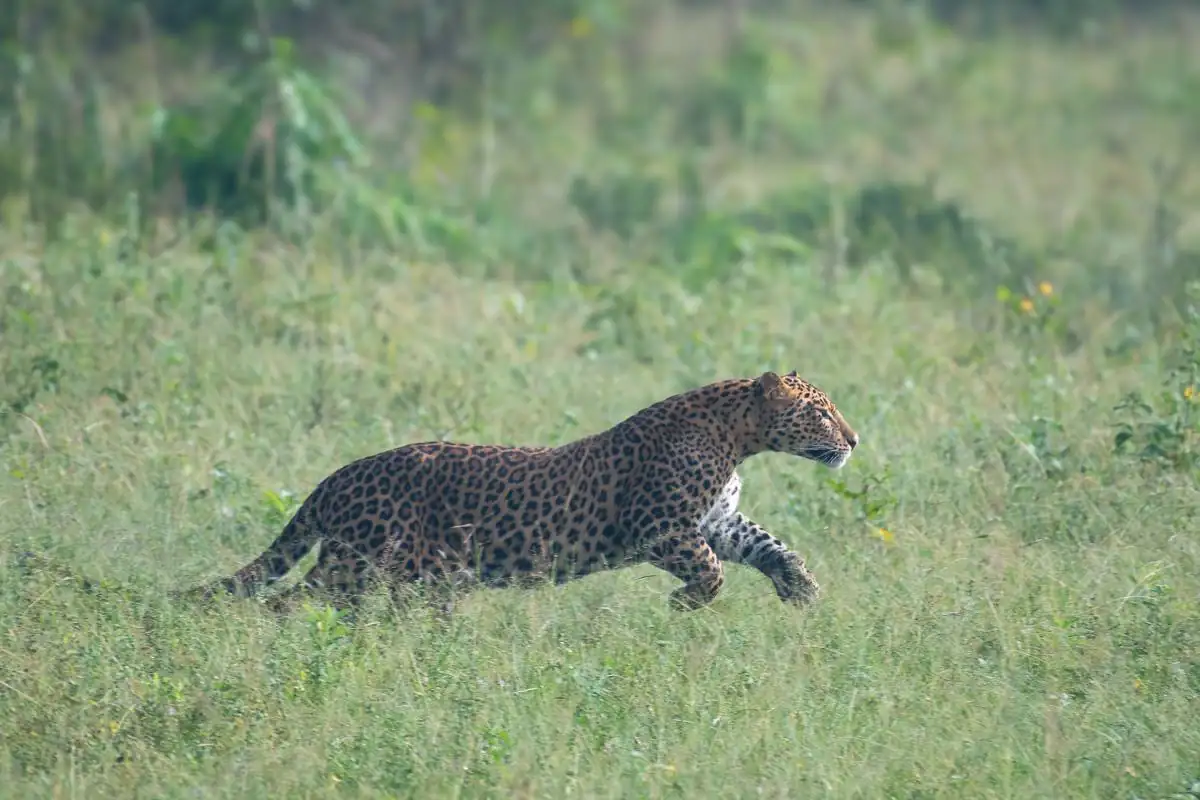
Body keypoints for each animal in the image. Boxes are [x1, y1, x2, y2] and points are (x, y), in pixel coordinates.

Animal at [191, 370, 859, 612]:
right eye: (820, 413)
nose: (854, 440)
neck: (737, 437)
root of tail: (335, 478)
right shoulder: (658, 528)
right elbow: (713, 570)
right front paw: (685, 604)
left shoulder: (716, 521)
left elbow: (768, 545)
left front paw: (801, 588)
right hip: (356, 564)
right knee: (285, 601)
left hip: (408, 578)